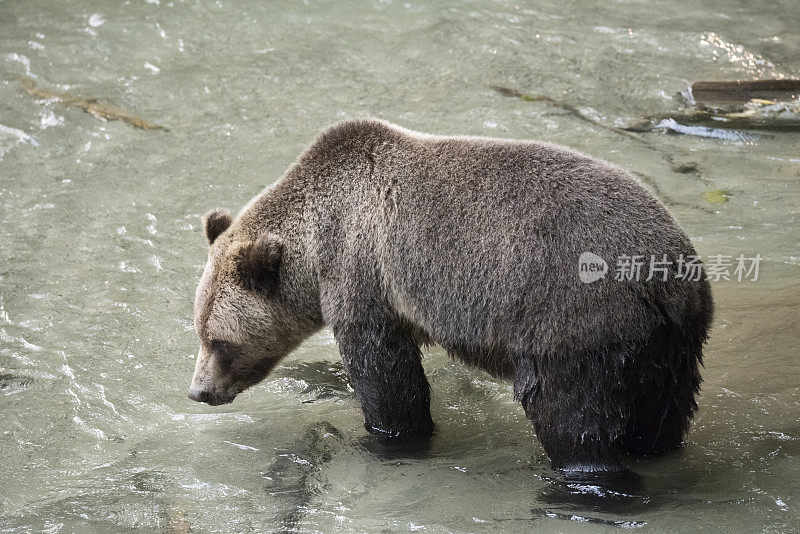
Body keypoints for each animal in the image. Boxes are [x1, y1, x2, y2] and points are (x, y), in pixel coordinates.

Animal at [188, 118, 712, 474]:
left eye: (219, 341)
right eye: (199, 331)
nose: (198, 391)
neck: (315, 246)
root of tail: (666, 273)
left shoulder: (363, 273)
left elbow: (384, 373)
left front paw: (389, 436)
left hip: (574, 318)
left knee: (570, 411)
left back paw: (585, 474)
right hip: (670, 342)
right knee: (663, 412)